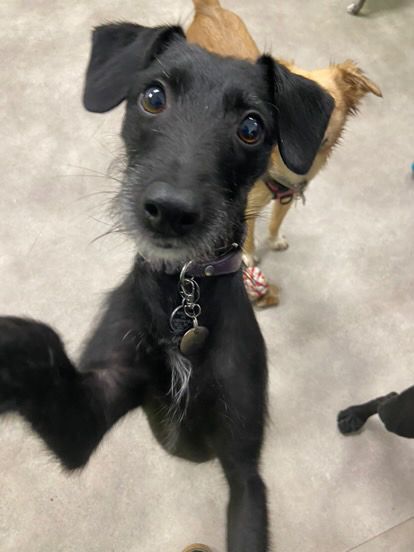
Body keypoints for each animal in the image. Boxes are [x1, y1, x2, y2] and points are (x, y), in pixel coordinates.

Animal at [0, 20, 334, 552]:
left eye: (252, 127)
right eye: (153, 97)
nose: (171, 211)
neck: (183, 295)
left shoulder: (245, 471)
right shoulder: (89, 413)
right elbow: (41, 343)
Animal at [187, 0, 382, 307]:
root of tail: (210, 9)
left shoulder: (287, 197)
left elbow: (275, 222)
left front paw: (274, 239)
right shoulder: (246, 206)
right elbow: (248, 238)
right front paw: (248, 255)